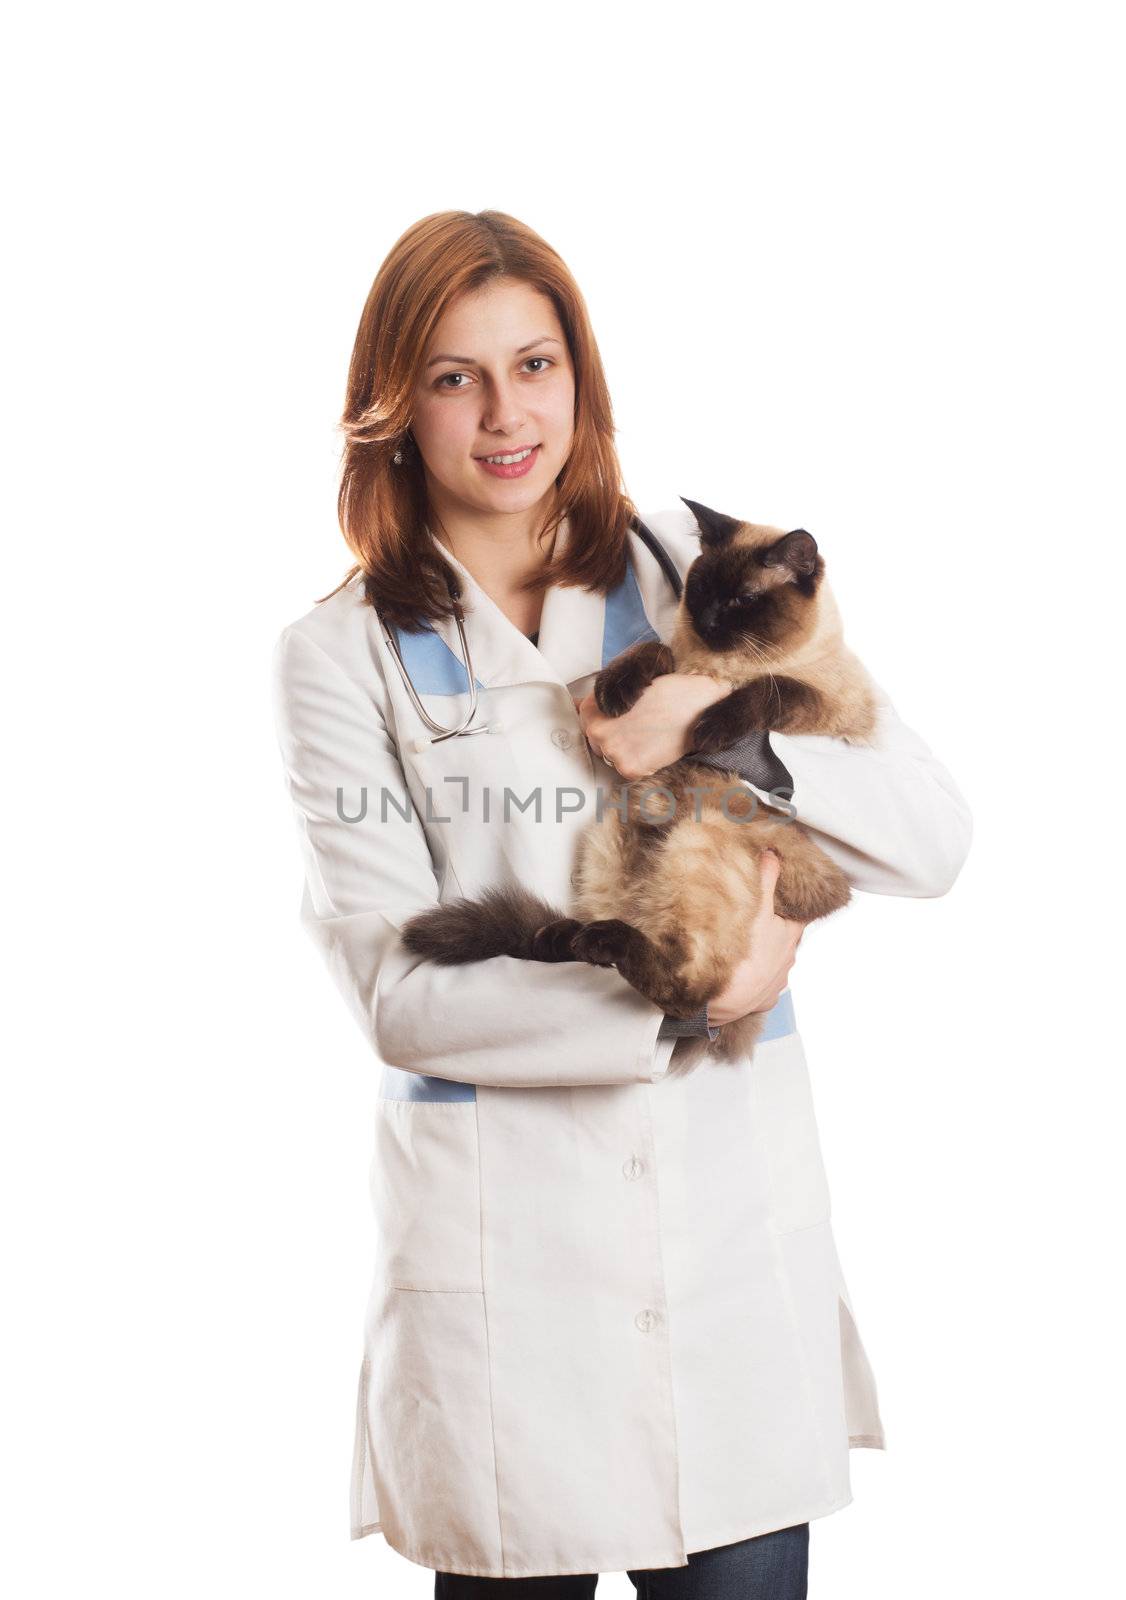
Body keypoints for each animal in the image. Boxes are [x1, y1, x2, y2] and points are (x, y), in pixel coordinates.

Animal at [403, 499, 882, 1075]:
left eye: (743, 600)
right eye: (699, 590)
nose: (709, 621)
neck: (720, 665)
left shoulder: (839, 712)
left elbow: (772, 690)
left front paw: (709, 728)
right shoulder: (678, 657)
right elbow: (653, 651)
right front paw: (615, 692)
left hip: (700, 838)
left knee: (693, 990)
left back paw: (602, 939)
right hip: (608, 839)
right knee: (610, 950)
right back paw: (566, 935)